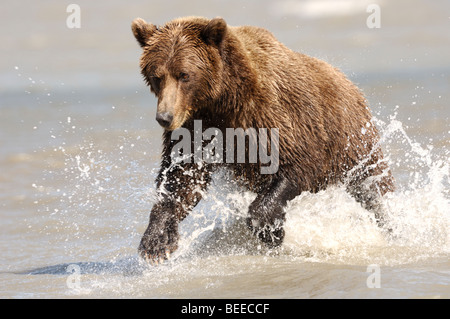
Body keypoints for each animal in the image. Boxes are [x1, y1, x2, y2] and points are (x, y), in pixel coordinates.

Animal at [130, 16, 394, 264]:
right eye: (157, 76)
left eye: (184, 75)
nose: (164, 117)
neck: (222, 102)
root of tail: (349, 83)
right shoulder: (195, 129)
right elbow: (181, 178)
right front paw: (156, 241)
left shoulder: (271, 116)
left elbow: (298, 163)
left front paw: (271, 232)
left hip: (351, 140)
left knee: (372, 185)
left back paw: (391, 224)